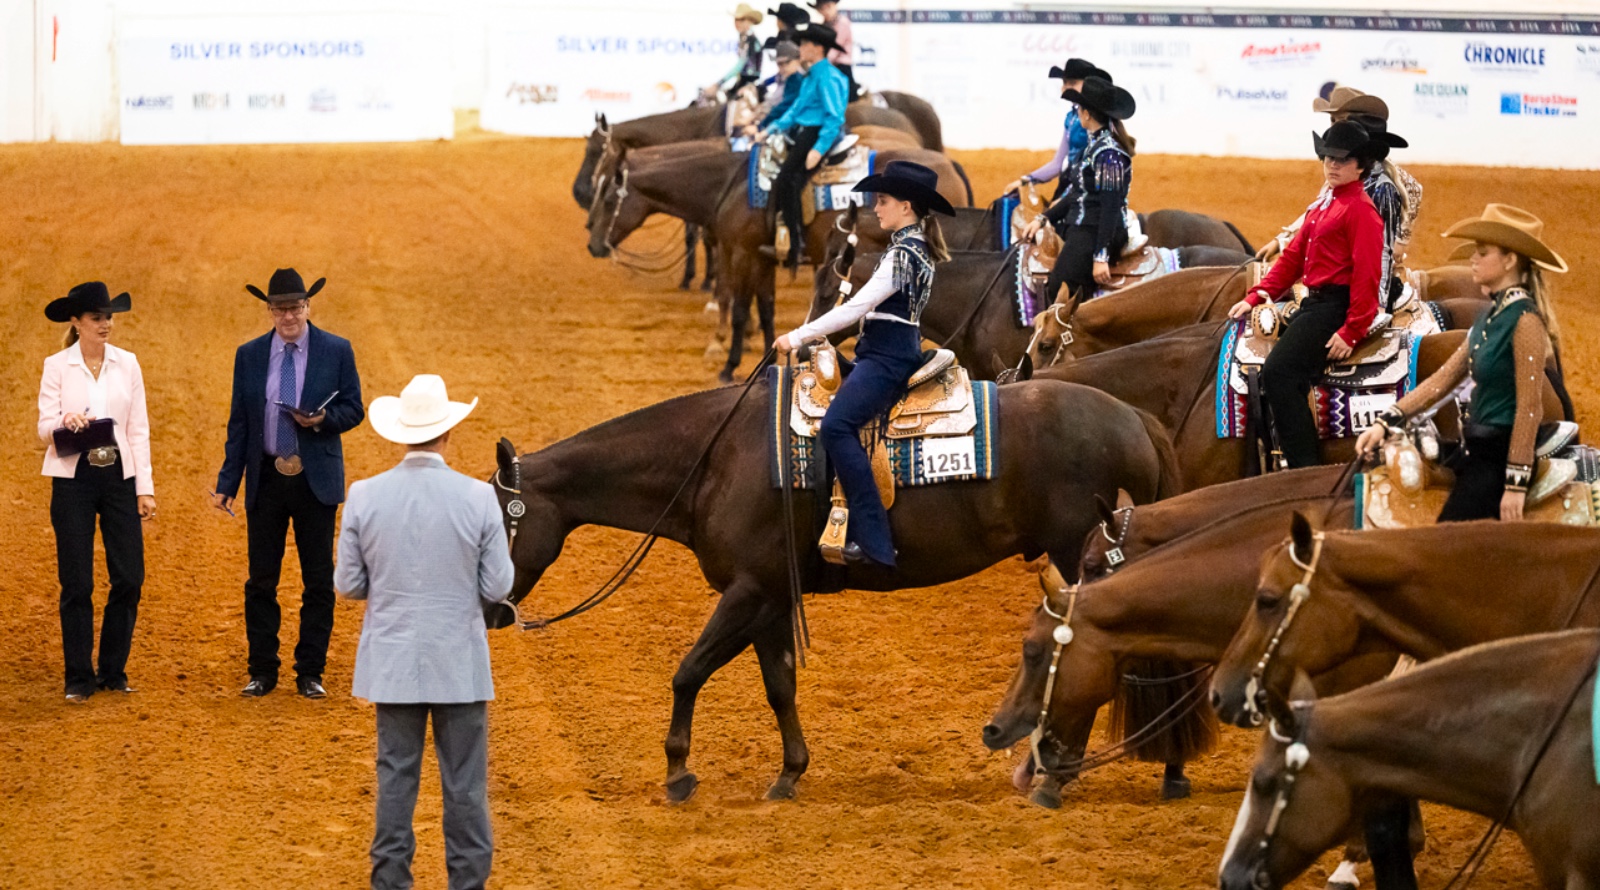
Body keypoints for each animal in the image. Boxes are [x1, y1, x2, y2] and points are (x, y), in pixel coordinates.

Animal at [492, 376, 1184, 800]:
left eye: (498, 519)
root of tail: (1136, 418)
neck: (717, 459)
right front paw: (788, 775)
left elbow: (687, 672)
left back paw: (1054, 777)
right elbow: (779, 686)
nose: (493, 612)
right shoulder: (770, 598)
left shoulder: (748, 591)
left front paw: (678, 772)